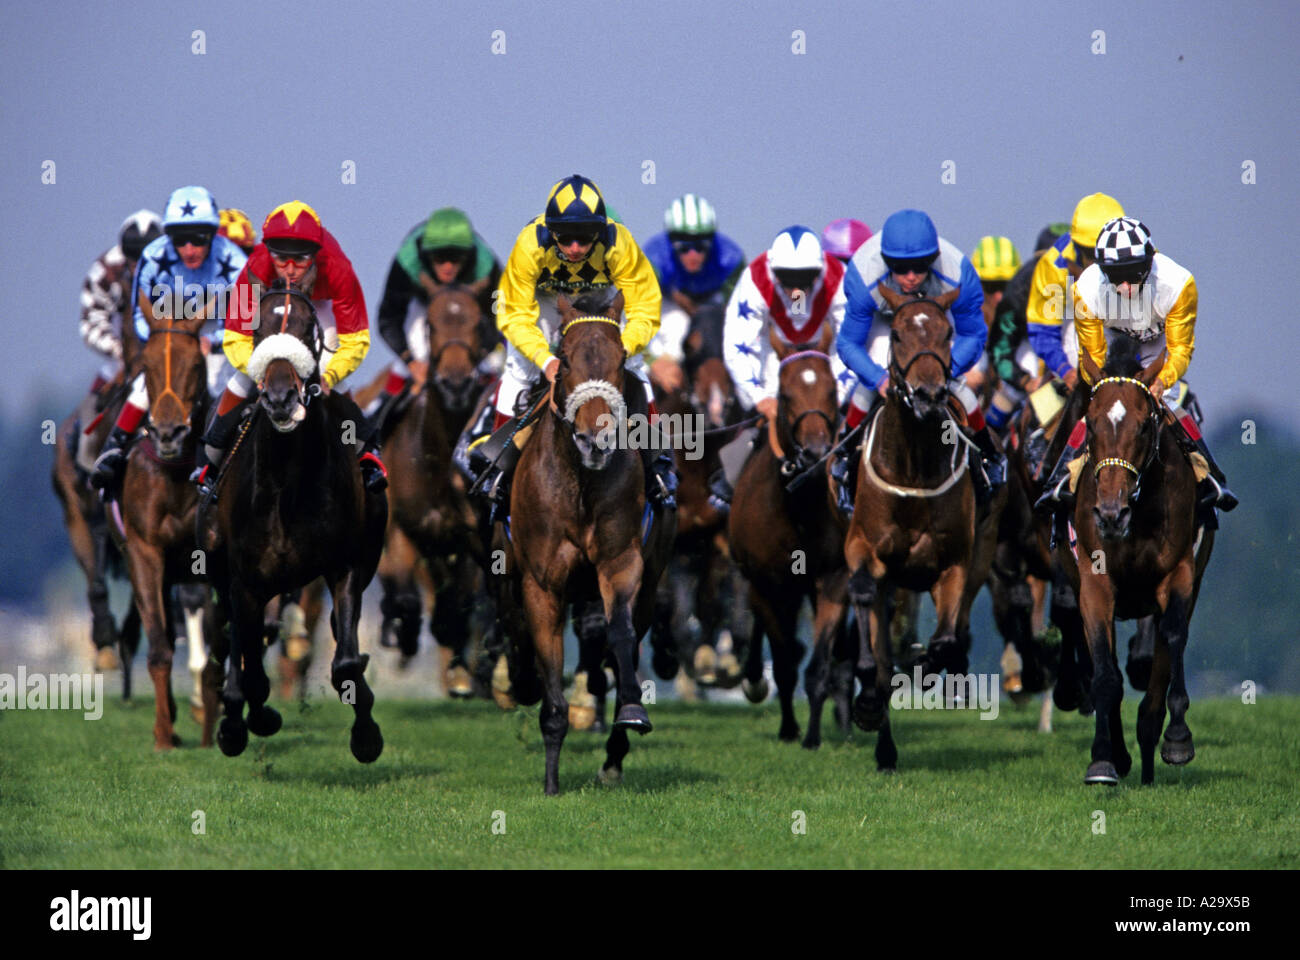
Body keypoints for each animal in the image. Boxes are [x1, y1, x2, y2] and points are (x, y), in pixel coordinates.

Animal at [197, 277, 387, 764]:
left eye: (306, 330)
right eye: (259, 328)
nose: (281, 399)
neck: (285, 486)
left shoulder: (345, 567)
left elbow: (345, 662)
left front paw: (366, 735)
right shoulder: (244, 581)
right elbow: (249, 666)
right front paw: (248, 721)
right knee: (236, 645)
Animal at [491, 290, 676, 790]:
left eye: (622, 359)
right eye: (566, 358)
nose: (596, 440)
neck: (580, 484)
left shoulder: (621, 563)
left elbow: (620, 633)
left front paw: (630, 713)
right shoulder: (540, 583)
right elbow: (543, 654)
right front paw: (552, 780)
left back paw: (613, 756)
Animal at [733, 343, 852, 749]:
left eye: (833, 390)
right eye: (785, 396)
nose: (815, 453)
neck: (797, 505)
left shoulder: (833, 579)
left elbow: (819, 663)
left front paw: (813, 736)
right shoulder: (767, 585)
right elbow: (784, 662)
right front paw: (789, 728)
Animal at [842, 283, 977, 770]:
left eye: (947, 333)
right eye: (898, 334)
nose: (927, 394)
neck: (915, 466)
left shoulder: (954, 563)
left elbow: (945, 640)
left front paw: (927, 666)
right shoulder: (863, 548)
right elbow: (864, 595)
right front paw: (866, 699)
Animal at [1060, 348, 1211, 780]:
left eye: (1144, 426)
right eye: (1091, 425)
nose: (1112, 514)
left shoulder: (1180, 573)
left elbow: (1173, 636)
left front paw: (1178, 738)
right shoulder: (1093, 583)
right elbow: (1104, 673)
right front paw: (1103, 758)